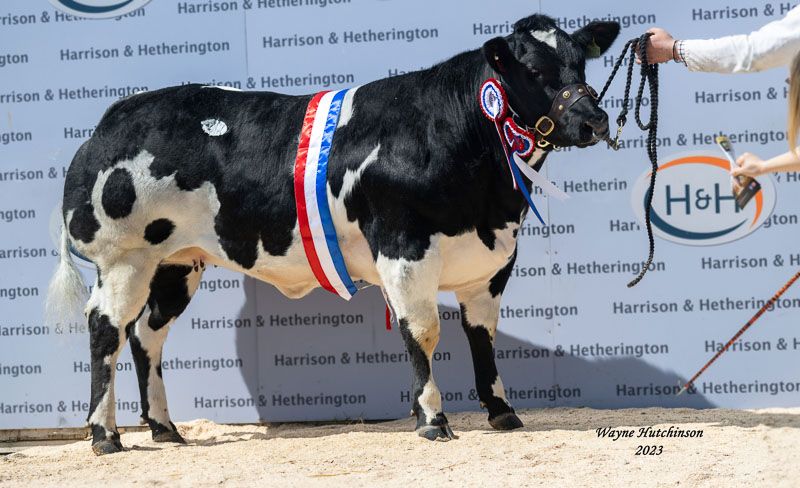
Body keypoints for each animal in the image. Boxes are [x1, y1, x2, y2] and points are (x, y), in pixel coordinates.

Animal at [46, 14, 620, 455]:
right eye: (534, 69)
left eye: (581, 63)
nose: (595, 120)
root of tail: (116, 115)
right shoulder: (404, 249)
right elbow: (423, 331)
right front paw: (432, 421)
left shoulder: (493, 260)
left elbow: (482, 335)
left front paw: (503, 413)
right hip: (125, 257)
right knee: (106, 329)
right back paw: (105, 436)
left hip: (175, 261)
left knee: (147, 333)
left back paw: (165, 429)